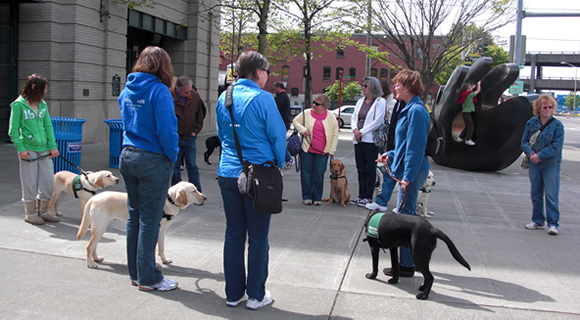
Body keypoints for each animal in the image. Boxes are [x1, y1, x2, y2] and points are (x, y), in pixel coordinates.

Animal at [76, 181, 205, 268]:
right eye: (194, 191)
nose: (205, 197)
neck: (169, 200)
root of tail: (93, 198)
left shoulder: (162, 231)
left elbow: (162, 247)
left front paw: (164, 260)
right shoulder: (154, 230)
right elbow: (152, 250)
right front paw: (155, 263)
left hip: (99, 228)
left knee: (94, 245)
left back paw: (96, 258)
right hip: (100, 227)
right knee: (89, 246)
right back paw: (90, 263)